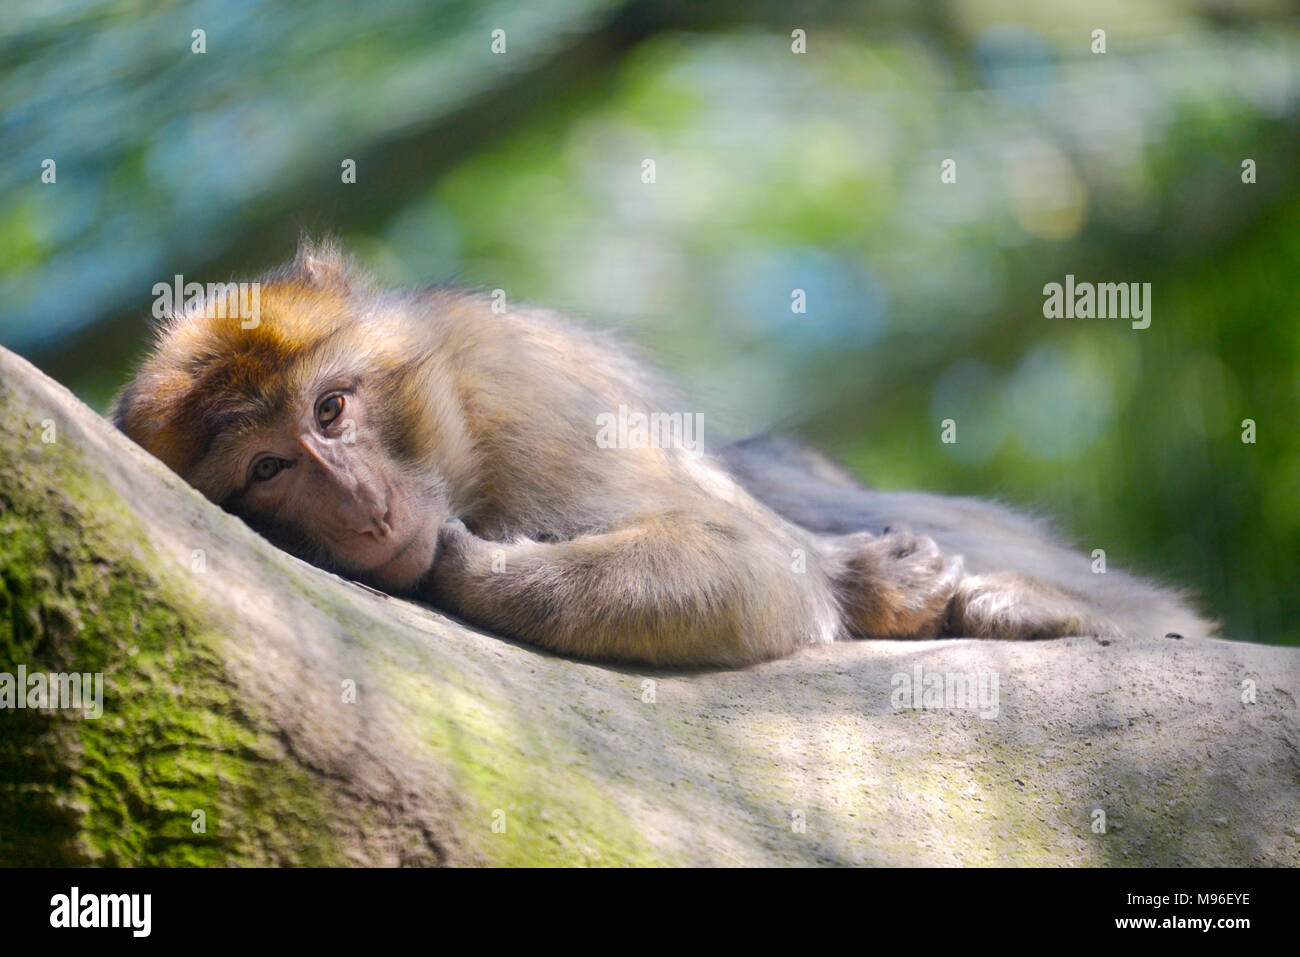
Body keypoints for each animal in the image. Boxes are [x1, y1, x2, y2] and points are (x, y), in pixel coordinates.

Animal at [111, 239, 1212, 667]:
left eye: (331, 411)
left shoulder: (523, 392)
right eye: (266, 469)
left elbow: (750, 562)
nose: (361, 501)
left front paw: (476, 570)